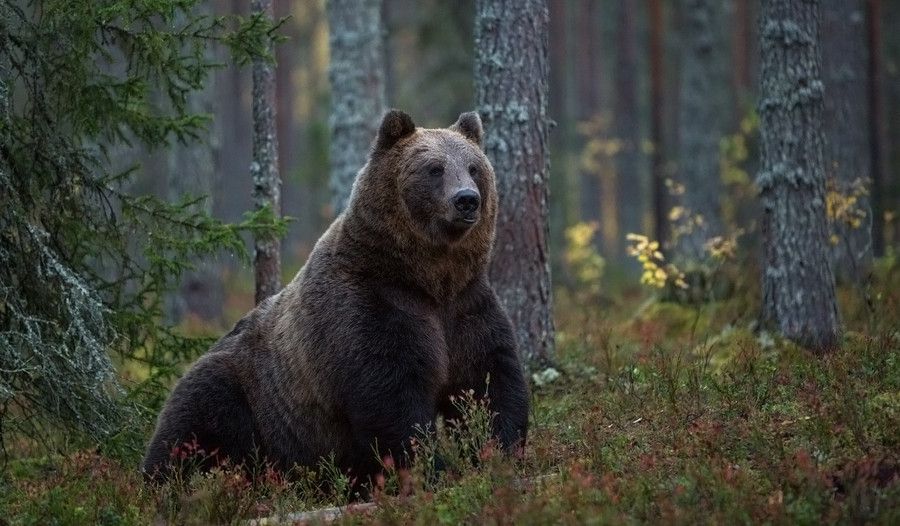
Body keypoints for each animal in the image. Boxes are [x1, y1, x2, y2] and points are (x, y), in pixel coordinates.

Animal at [144, 109, 532, 488]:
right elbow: (391, 396)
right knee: (194, 422)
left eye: (474, 167)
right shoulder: (368, 306)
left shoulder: (465, 307)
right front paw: (431, 470)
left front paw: (498, 454)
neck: (427, 277)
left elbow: (488, 383)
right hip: (244, 393)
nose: (467, 199)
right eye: (434, 168)